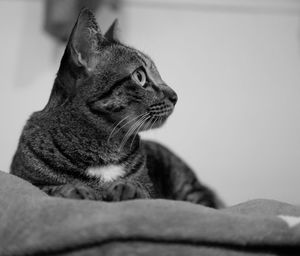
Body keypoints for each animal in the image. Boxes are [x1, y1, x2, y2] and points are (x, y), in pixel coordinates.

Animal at [9, 8, 223, 208]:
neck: (104, 147)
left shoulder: (153, 191)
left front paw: (127, 188)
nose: (175, 96)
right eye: (140, 76)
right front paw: (75, 189)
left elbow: (143, 190)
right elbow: (47, 187)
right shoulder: (25, 178)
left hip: (187, 186)